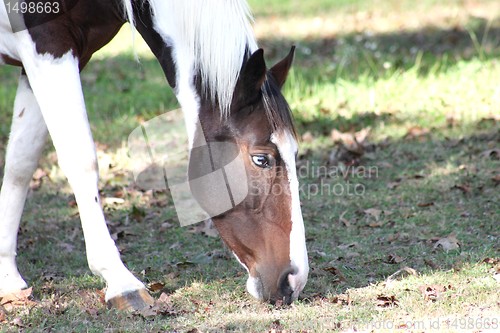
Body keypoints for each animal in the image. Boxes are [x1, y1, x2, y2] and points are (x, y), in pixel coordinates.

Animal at [0, 0, 308, 308]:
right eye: (261, 159)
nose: (294, 279)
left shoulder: (52, 58)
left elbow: (20, 162)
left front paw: (8, 277)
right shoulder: (49, 48)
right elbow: (81, 160)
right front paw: (121, 281)